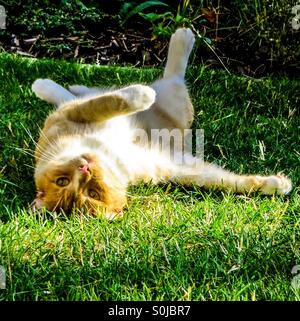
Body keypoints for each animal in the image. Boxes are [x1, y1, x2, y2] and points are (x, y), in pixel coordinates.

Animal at [31, 28, 292, 219]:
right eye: (91, 192)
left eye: (62, 180)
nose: (85, 168)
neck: (109, 153)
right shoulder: (172, 164)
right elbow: (220, 180)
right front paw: (274, 184)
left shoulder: (74, 114)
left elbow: (109, 101)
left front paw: (274, 185)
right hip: (180, 103)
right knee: (174, 76)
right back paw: (182, 38)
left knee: (81, 94)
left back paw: (50, 85)